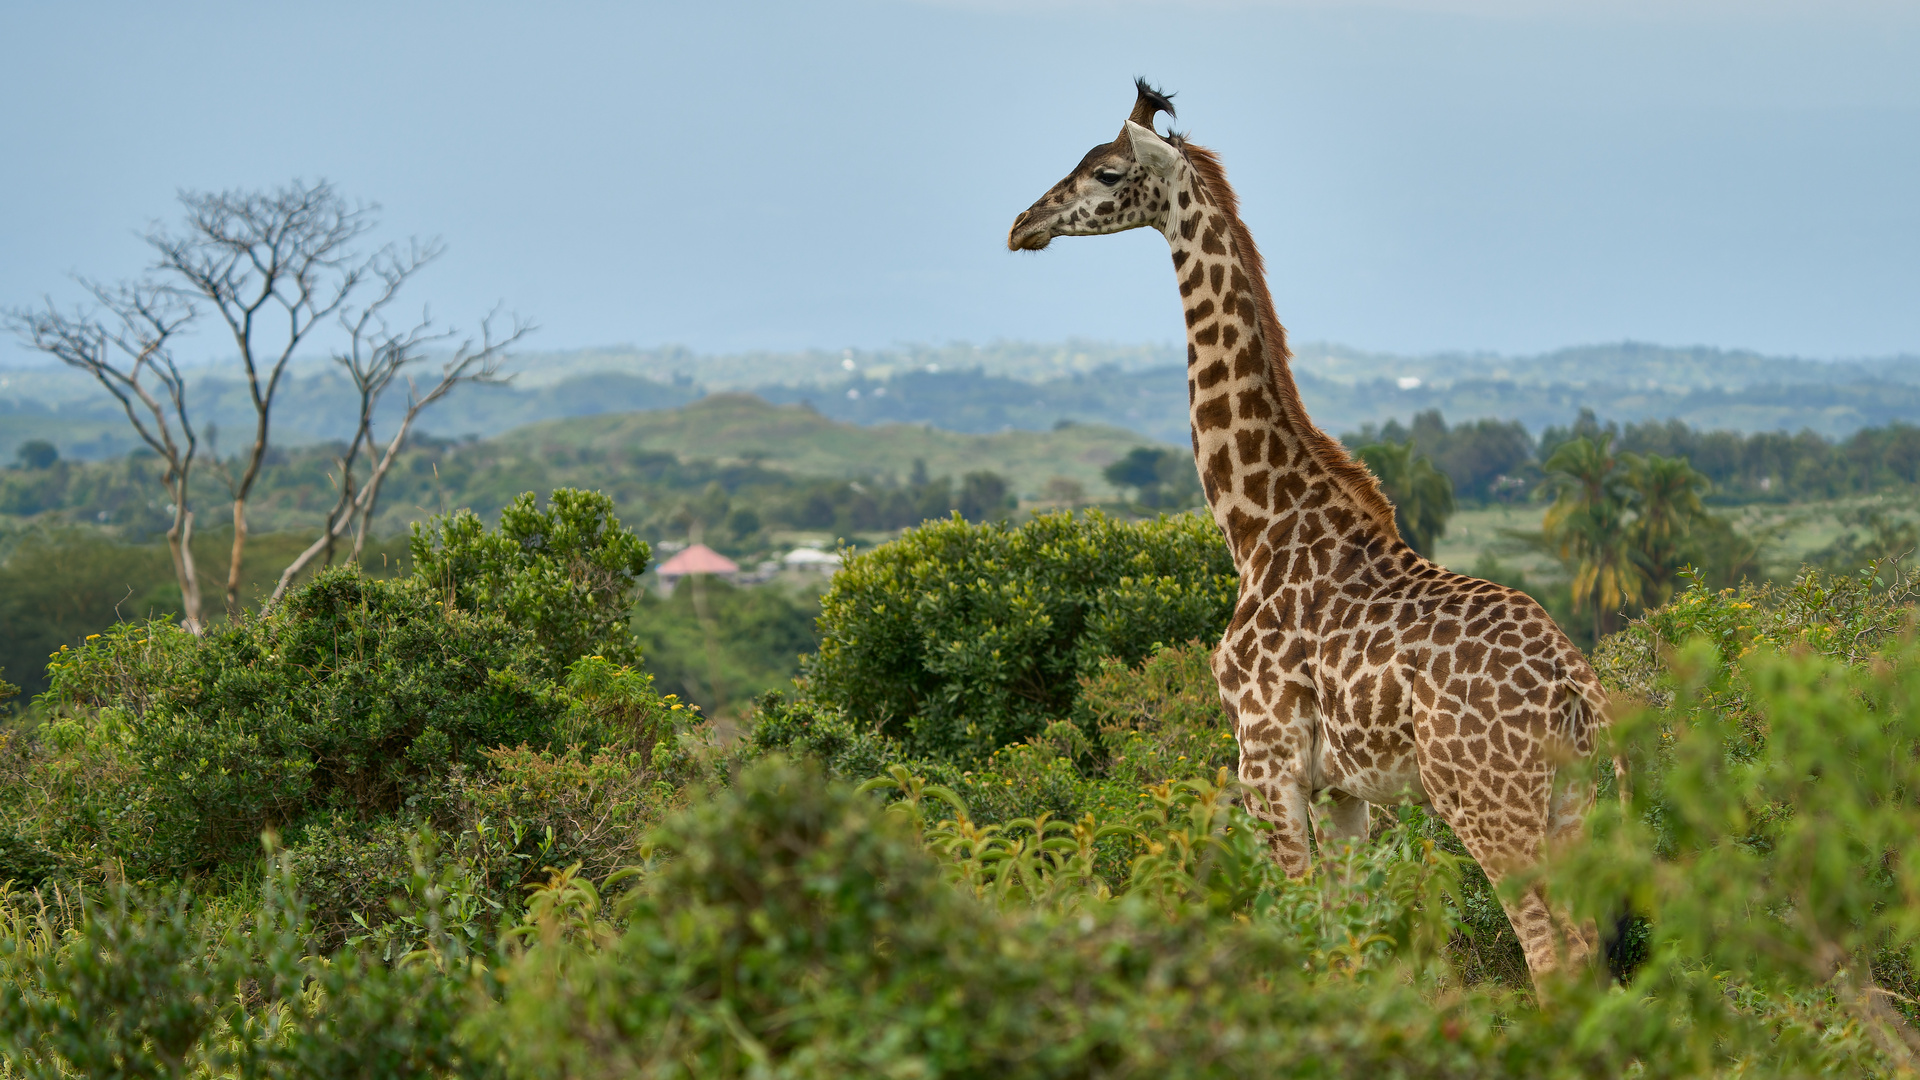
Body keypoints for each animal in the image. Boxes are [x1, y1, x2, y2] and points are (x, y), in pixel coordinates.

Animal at [1013, 79, 1612, 980]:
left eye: (1108, 172)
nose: (1024, 224)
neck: (1259, 525)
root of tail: (1577, 690)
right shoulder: (1342, 790)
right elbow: (1354, 945)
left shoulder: (1265, 762)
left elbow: (1300, 932)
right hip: (1573, 803)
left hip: (1486, 801)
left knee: (1553, 954)